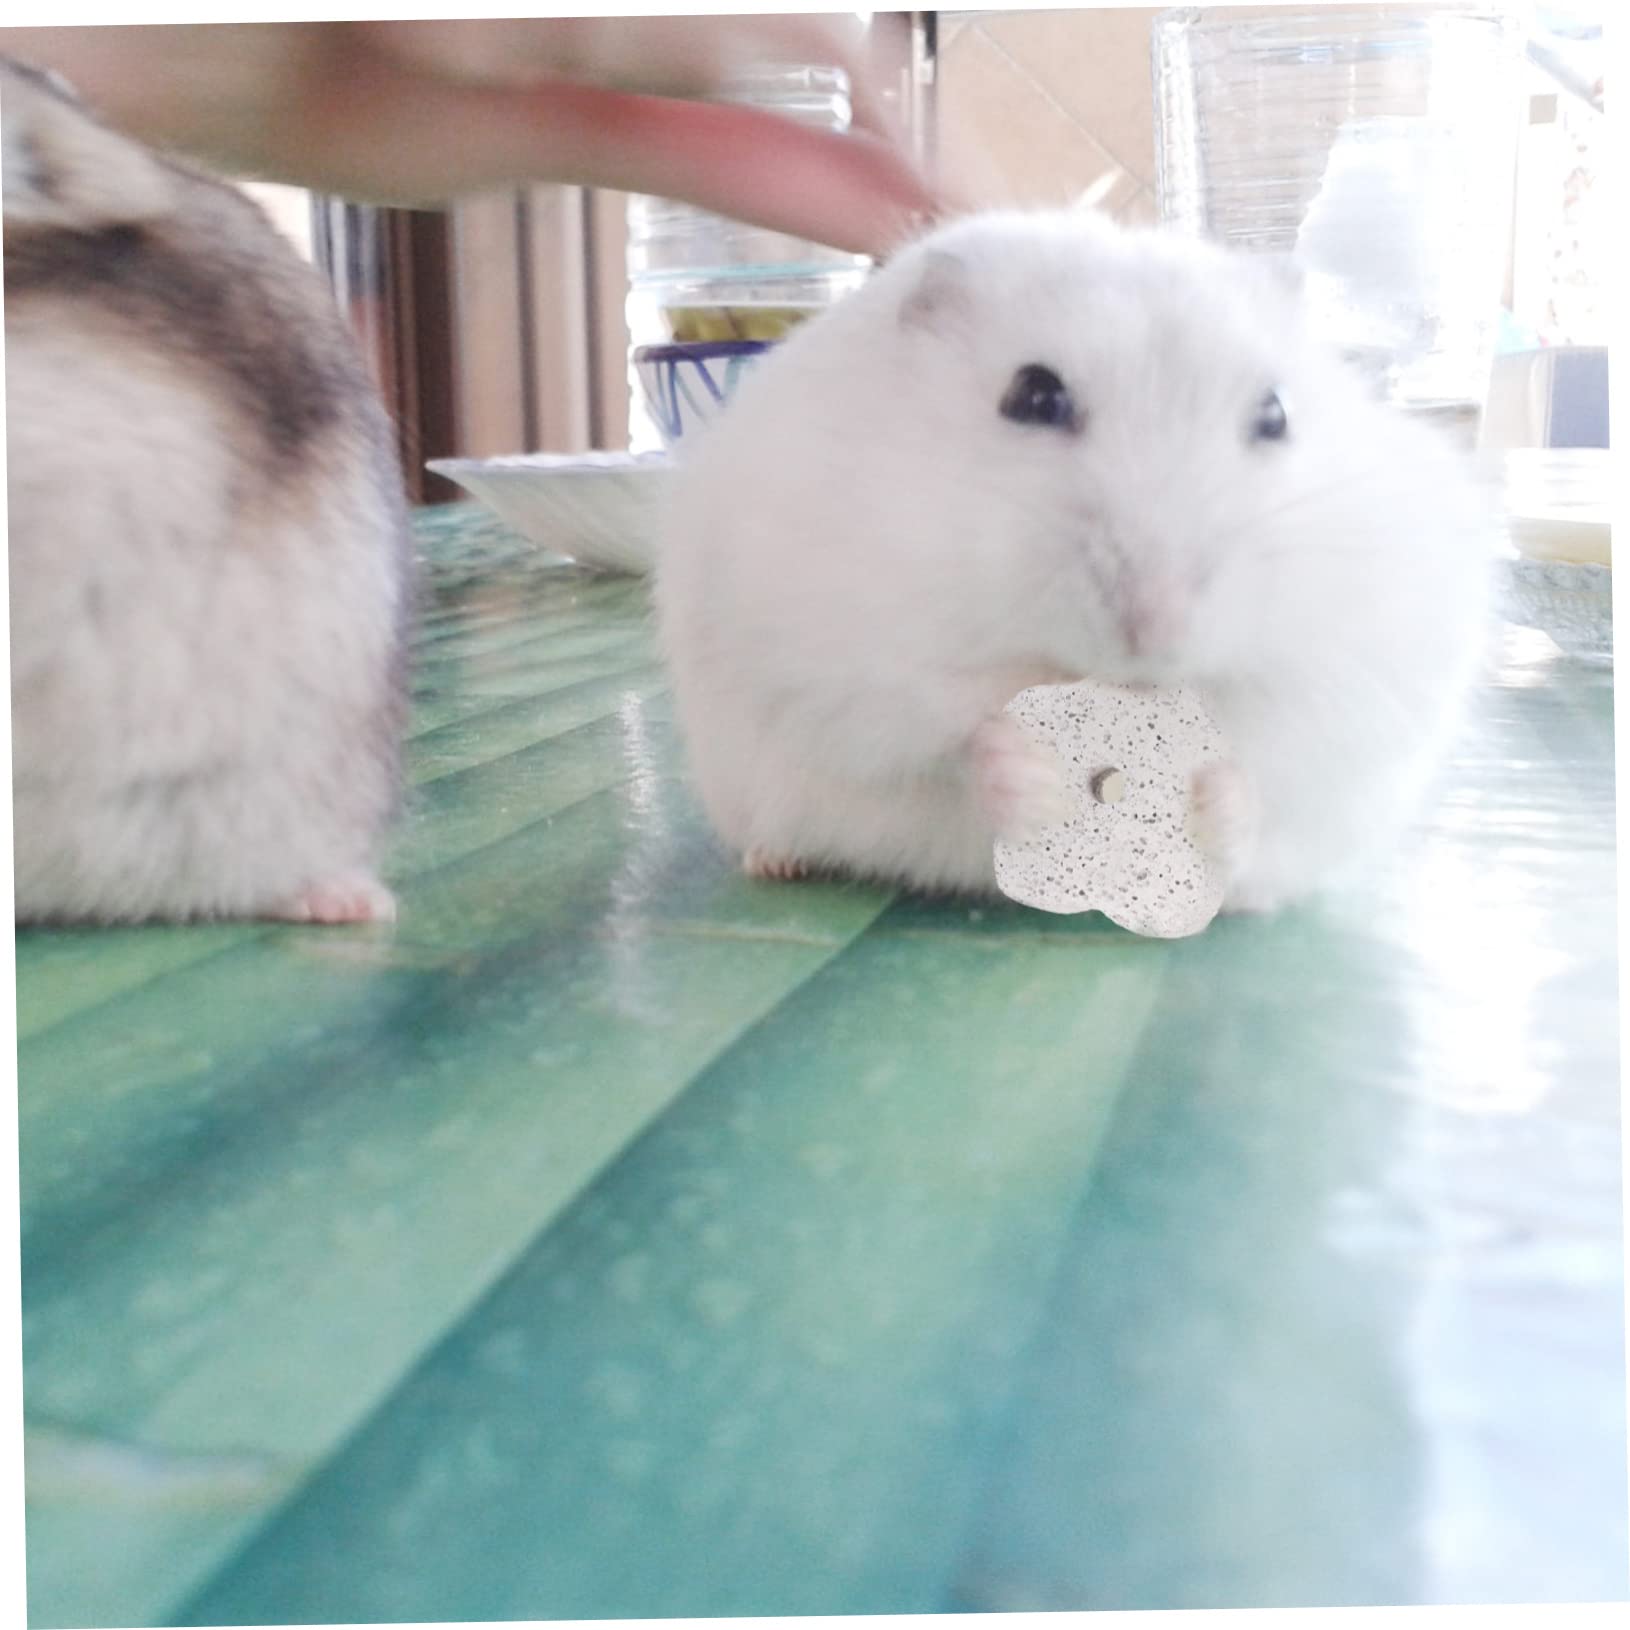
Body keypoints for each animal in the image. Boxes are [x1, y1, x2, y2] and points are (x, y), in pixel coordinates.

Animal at [654, 209, 1497, 912]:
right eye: (1033, 396)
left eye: (1276, 414)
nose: (1158, 633)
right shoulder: (832, 655)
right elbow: (944, 739)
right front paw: (1033, 782)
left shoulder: (1365, 671)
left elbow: (1274, 759)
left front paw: (1215, 802)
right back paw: (774, 862)